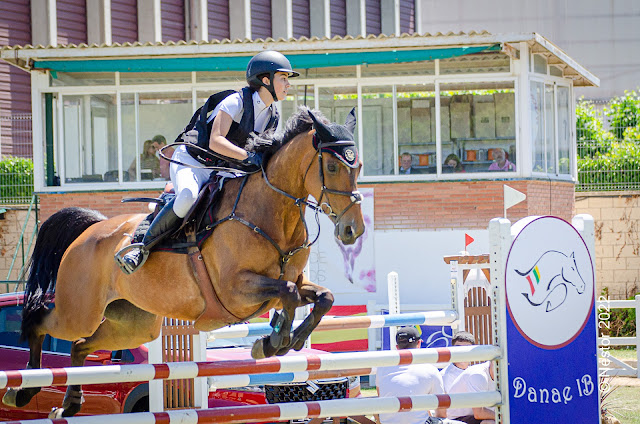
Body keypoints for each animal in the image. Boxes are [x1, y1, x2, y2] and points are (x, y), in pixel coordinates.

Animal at [2, 106, 364, 418]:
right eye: (332, 167)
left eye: (358, 167)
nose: (353, 229)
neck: (273, 212)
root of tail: (92, 228)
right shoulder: (236, 290)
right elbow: (287, 292)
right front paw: (272, 342)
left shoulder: (290, 284)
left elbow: (321, 297)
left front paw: (287, 340)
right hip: (79, 310)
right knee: (42, 322)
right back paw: (21, 391)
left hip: (133, 325)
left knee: (79, 345)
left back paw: (69, 405)